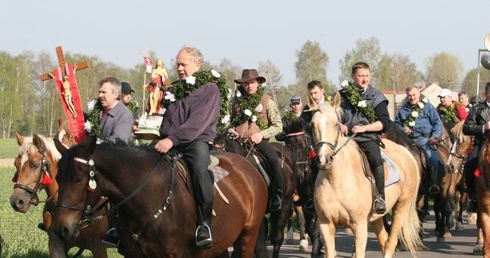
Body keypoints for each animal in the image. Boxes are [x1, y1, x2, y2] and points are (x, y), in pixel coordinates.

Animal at [50, 139, 268, 258]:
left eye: (78, 179)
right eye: (57, 178)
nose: (61, 228)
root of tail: (249, 167)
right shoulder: (134, 254)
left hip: (248, 235)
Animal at [312, 97, 424, 258]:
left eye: (336, 124)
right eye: (312, 124)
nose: (323, 160)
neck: (335, 180)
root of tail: (406, 152)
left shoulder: (359, 225)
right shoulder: (325, 225)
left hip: (401, 206)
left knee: (391, 243)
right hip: (375, 217)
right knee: (384, 240)